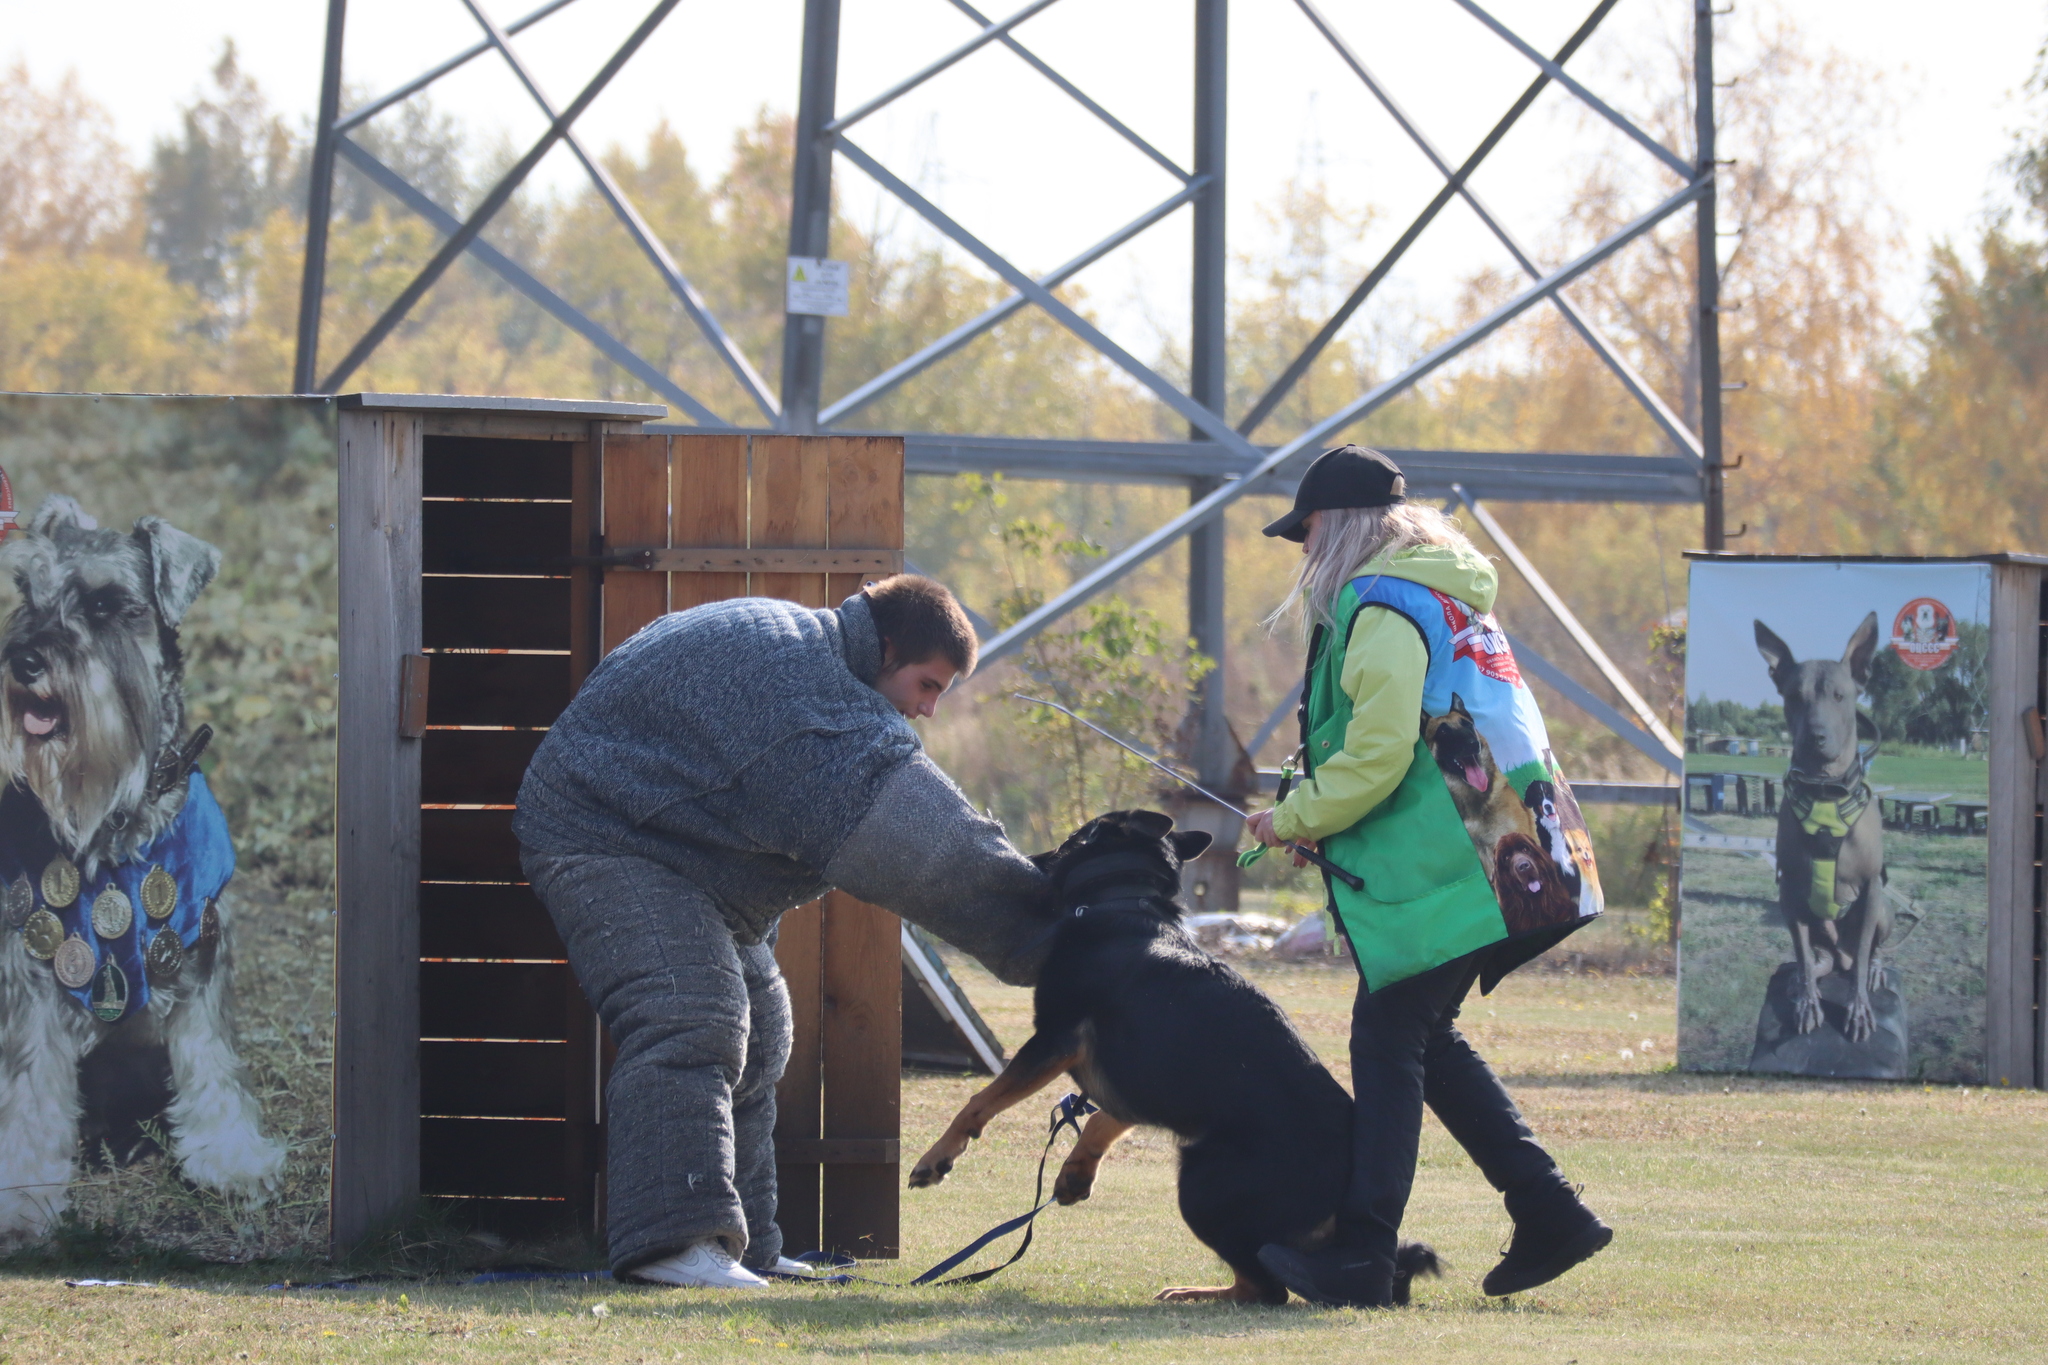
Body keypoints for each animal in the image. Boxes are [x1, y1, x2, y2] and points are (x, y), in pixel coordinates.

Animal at [913, 810, 1441, 1301]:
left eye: (1070, 839)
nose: (1028, 858)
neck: (1122, 903)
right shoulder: (1129, 1081)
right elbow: (1104, 1117)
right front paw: (1076, 1172)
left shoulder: (1054, 1039)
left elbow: (978, 1102)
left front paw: (937, 1158)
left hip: (1202, 1189)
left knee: (1264, 1289)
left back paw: (1196, 1292)